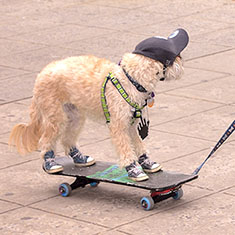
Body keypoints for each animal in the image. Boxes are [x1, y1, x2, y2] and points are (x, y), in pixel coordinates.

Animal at [8, 28, 189, 182]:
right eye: (176, 56)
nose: (183, 63)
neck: (130, 78)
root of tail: (41, 74)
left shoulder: (132, 124)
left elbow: (139, 144)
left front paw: (146, 162)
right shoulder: (118, 126)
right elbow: (125, 148)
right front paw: (133, 169)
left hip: (74, 116)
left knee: (67, 139)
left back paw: (79, 157)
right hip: (55, 117)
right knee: (46, 141)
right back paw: (49, 162)